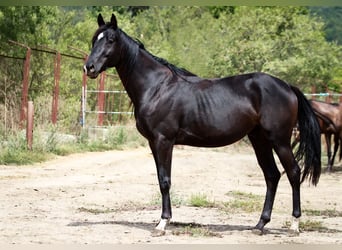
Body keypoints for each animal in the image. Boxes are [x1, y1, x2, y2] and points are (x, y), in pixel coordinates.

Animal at [83, 13, 320, 236]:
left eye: (111, 40)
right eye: (94, 39)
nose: (89, 67)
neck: (157, 87)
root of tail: (287, 86)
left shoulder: (163, 141)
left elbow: (165, 180)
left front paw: (162, 223)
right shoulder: (153, 142)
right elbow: (161, 179)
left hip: (279, 140)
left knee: (293, 172)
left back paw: (294, 225)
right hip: (259, 139)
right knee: (272, 176)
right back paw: (260, 224)